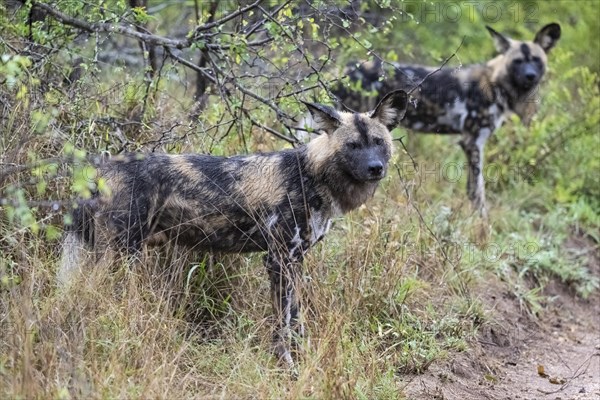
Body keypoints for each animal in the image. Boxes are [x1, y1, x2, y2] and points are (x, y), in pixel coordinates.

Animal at [59, 89, 408, 368]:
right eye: (352, 146)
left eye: (379, 142)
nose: (375, 168)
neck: (312, 175)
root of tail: (101, 168)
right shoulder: (279, 259)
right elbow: (283, 323)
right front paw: (287, 366)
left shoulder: (295, 260)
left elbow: (296, 320)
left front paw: (303, 359)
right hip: (116, 253)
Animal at [336, 22, 560, 216]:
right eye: (517, 61)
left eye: (536, 60)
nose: (530, 76)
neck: (498, 85)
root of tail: (344, 68)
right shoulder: (472, 142)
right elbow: (478, 191)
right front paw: (482, 223)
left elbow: (473, 188)